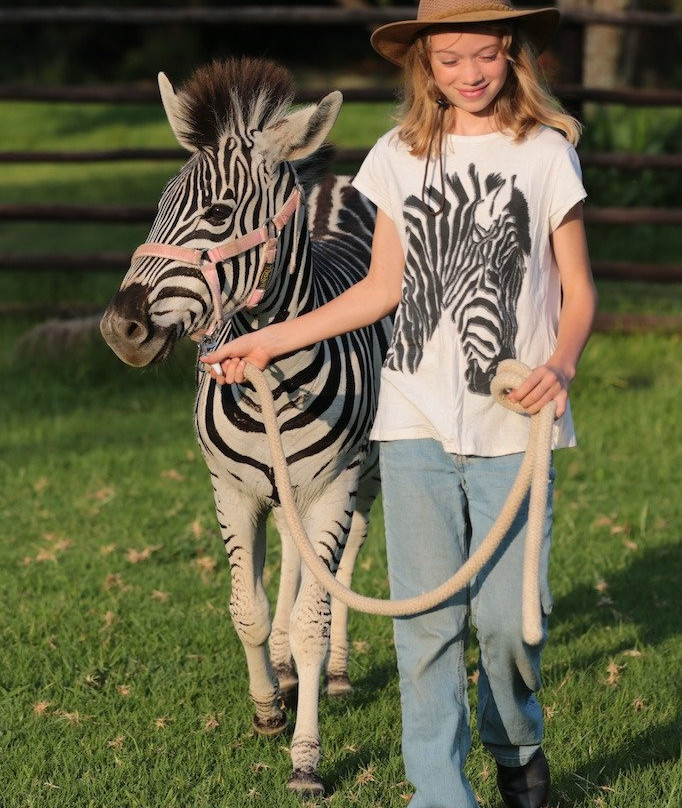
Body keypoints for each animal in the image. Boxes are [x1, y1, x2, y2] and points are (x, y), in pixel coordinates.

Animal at [99, 58, 391, 795]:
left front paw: (307, 757)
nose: (120, 330)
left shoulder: (332, 486)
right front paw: (267, 706)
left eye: (218, 214)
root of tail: (333, 184)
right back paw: (283, 668)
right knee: (290, 554)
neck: (269, 371)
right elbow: (247, 608)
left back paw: (334, 672)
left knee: (345, 556)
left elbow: (317, 613)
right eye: (160, 204)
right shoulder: (230, 488)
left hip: (366, 467)